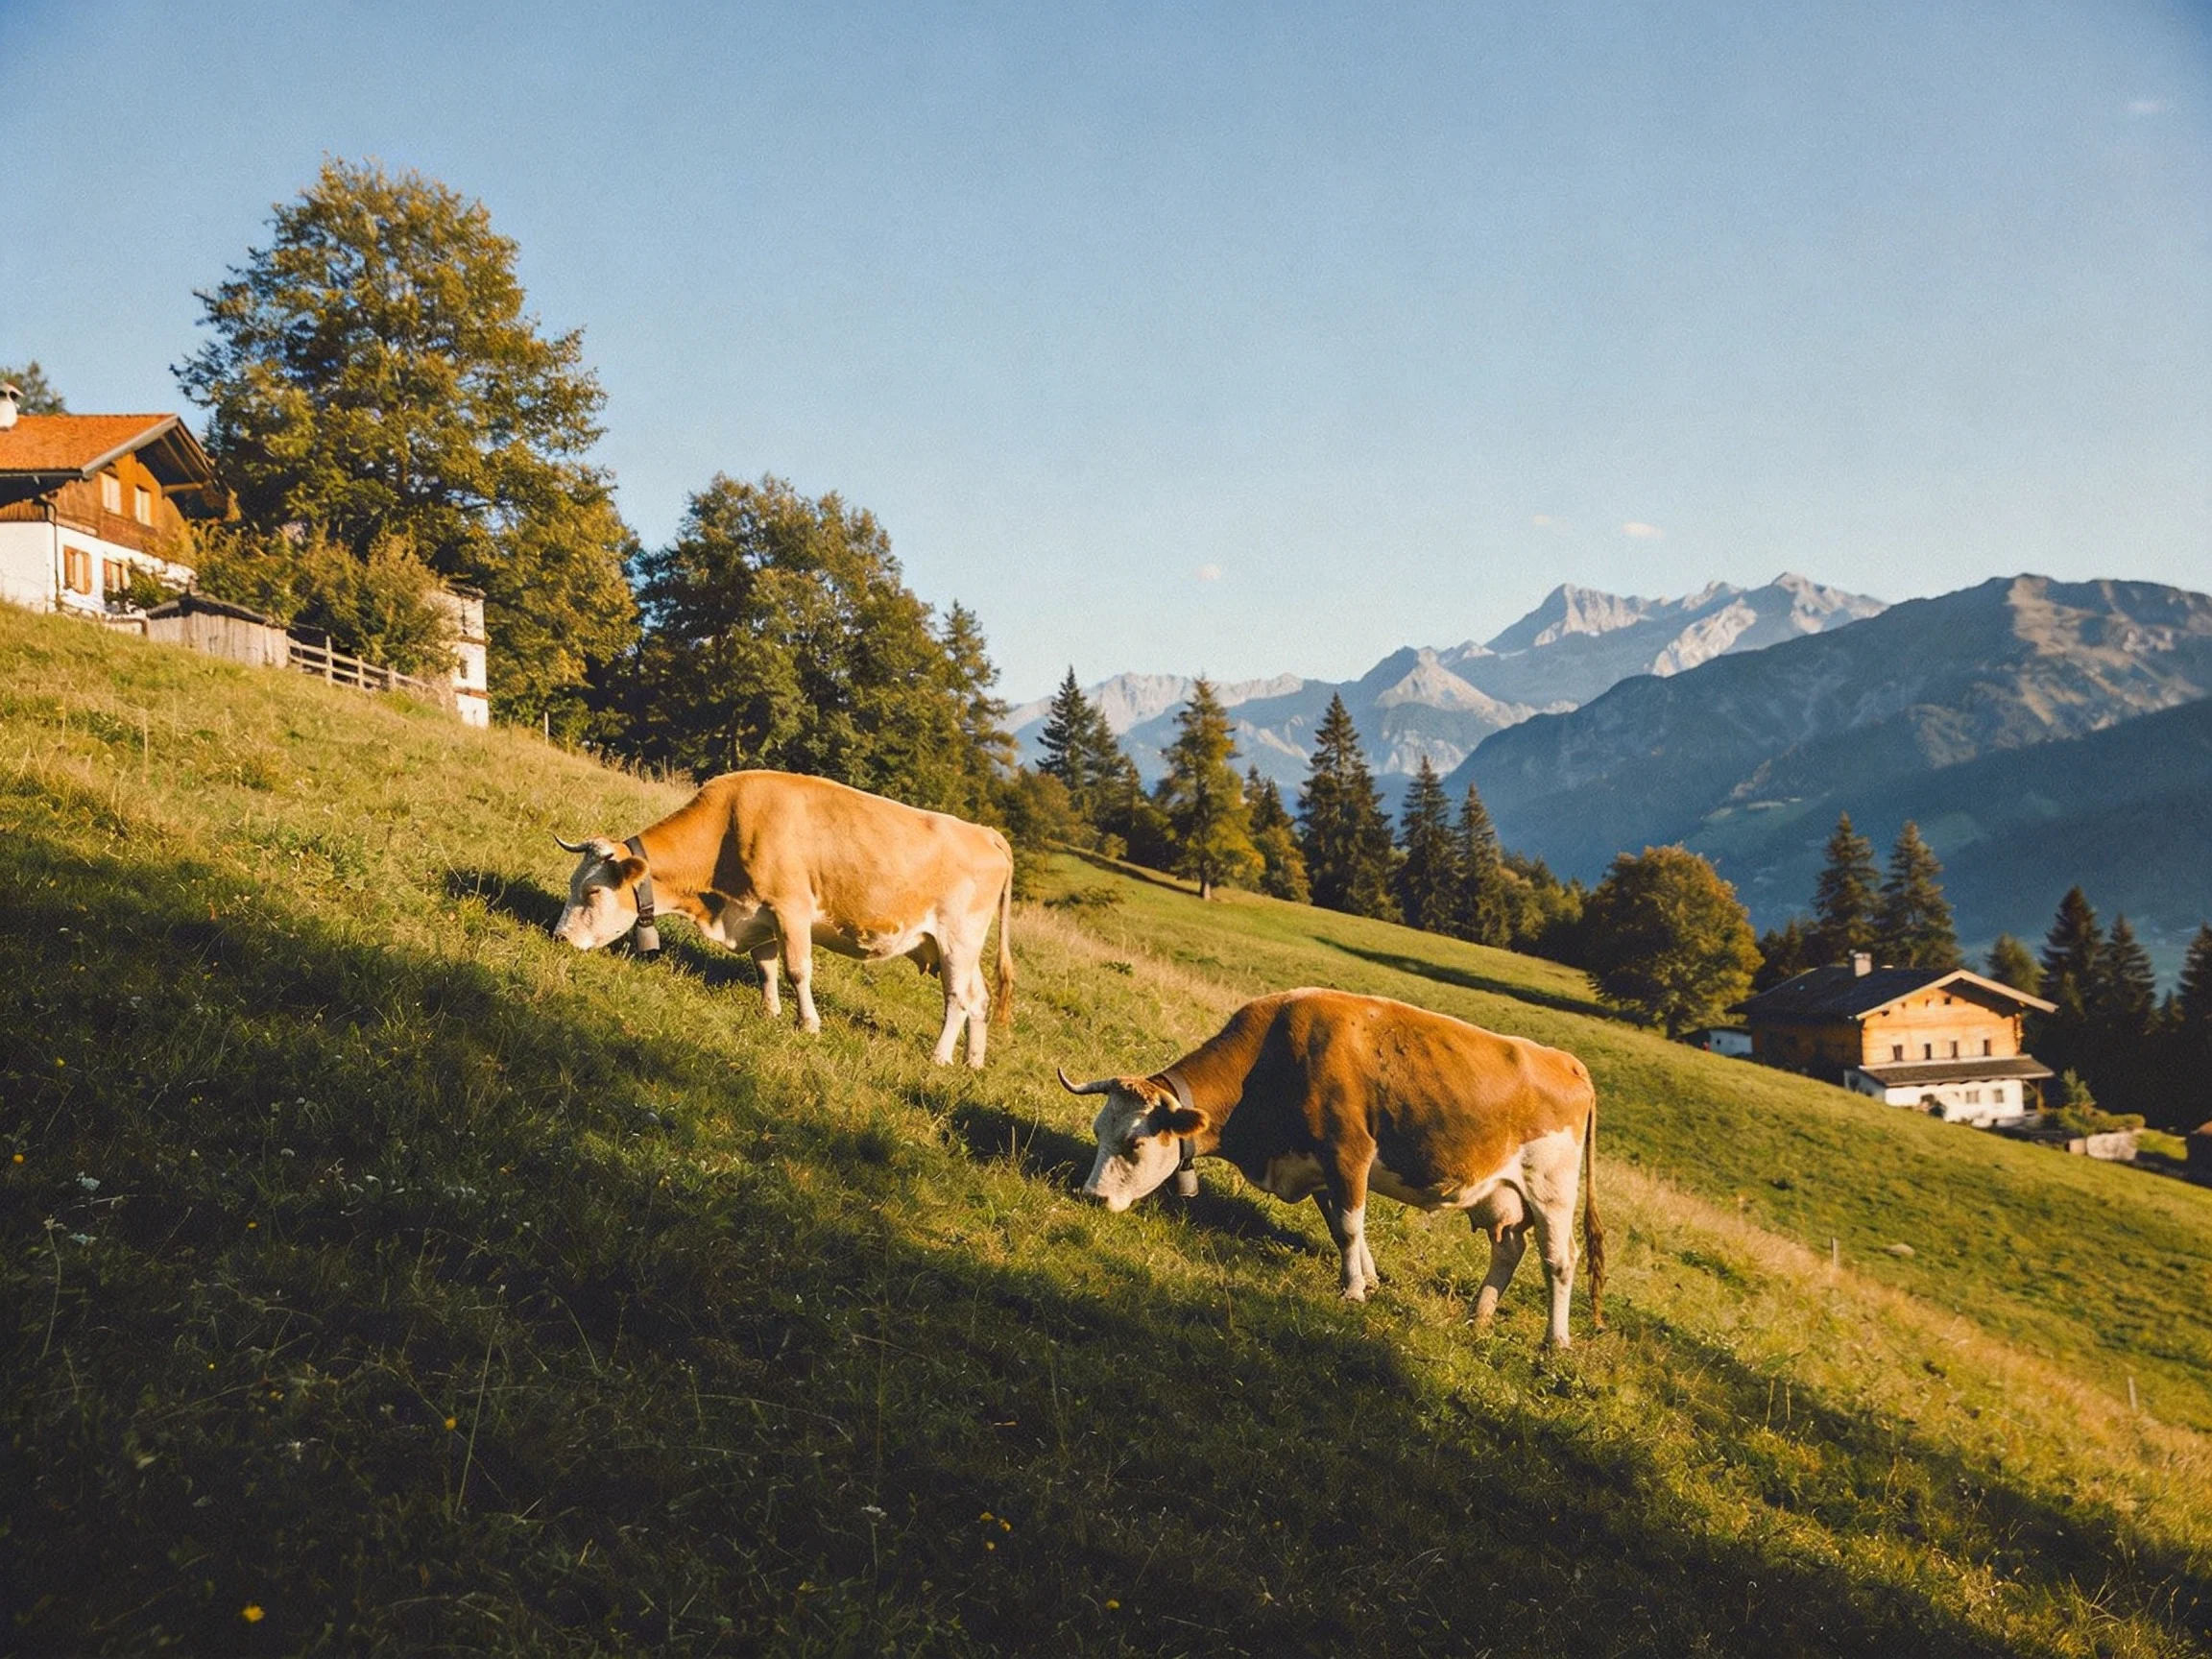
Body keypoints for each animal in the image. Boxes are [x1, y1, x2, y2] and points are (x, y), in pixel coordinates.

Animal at [554, 770, 1015, 1067]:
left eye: (593, 891)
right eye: (573, 882)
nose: (559, 937)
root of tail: (985, 832)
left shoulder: (791, 909)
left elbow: (797, 970)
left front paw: (808, 1023)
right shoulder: (758, 915)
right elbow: (766, 968)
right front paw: (771, 1011)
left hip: (958, 939)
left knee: (957, 998)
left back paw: (940, 1057)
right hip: (951, 946)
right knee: (978, 998)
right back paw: (972, 1063)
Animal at [1061, 987, 1604, 1346]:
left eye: (1134, 1142)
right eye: (1098, 1131)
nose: (1091, 1196)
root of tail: (1569, 1062)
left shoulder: (1348, 1151)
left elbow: (1346, 1226)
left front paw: (1353, 1291)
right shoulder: (1318, 1165)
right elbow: (1348, 1228)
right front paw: (1369, 1279)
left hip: (1551, 1191)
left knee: (1559, 1260)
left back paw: (1555, 1342)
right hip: (1503, 1195)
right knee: (1508, 1249)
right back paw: (1479, 1317)